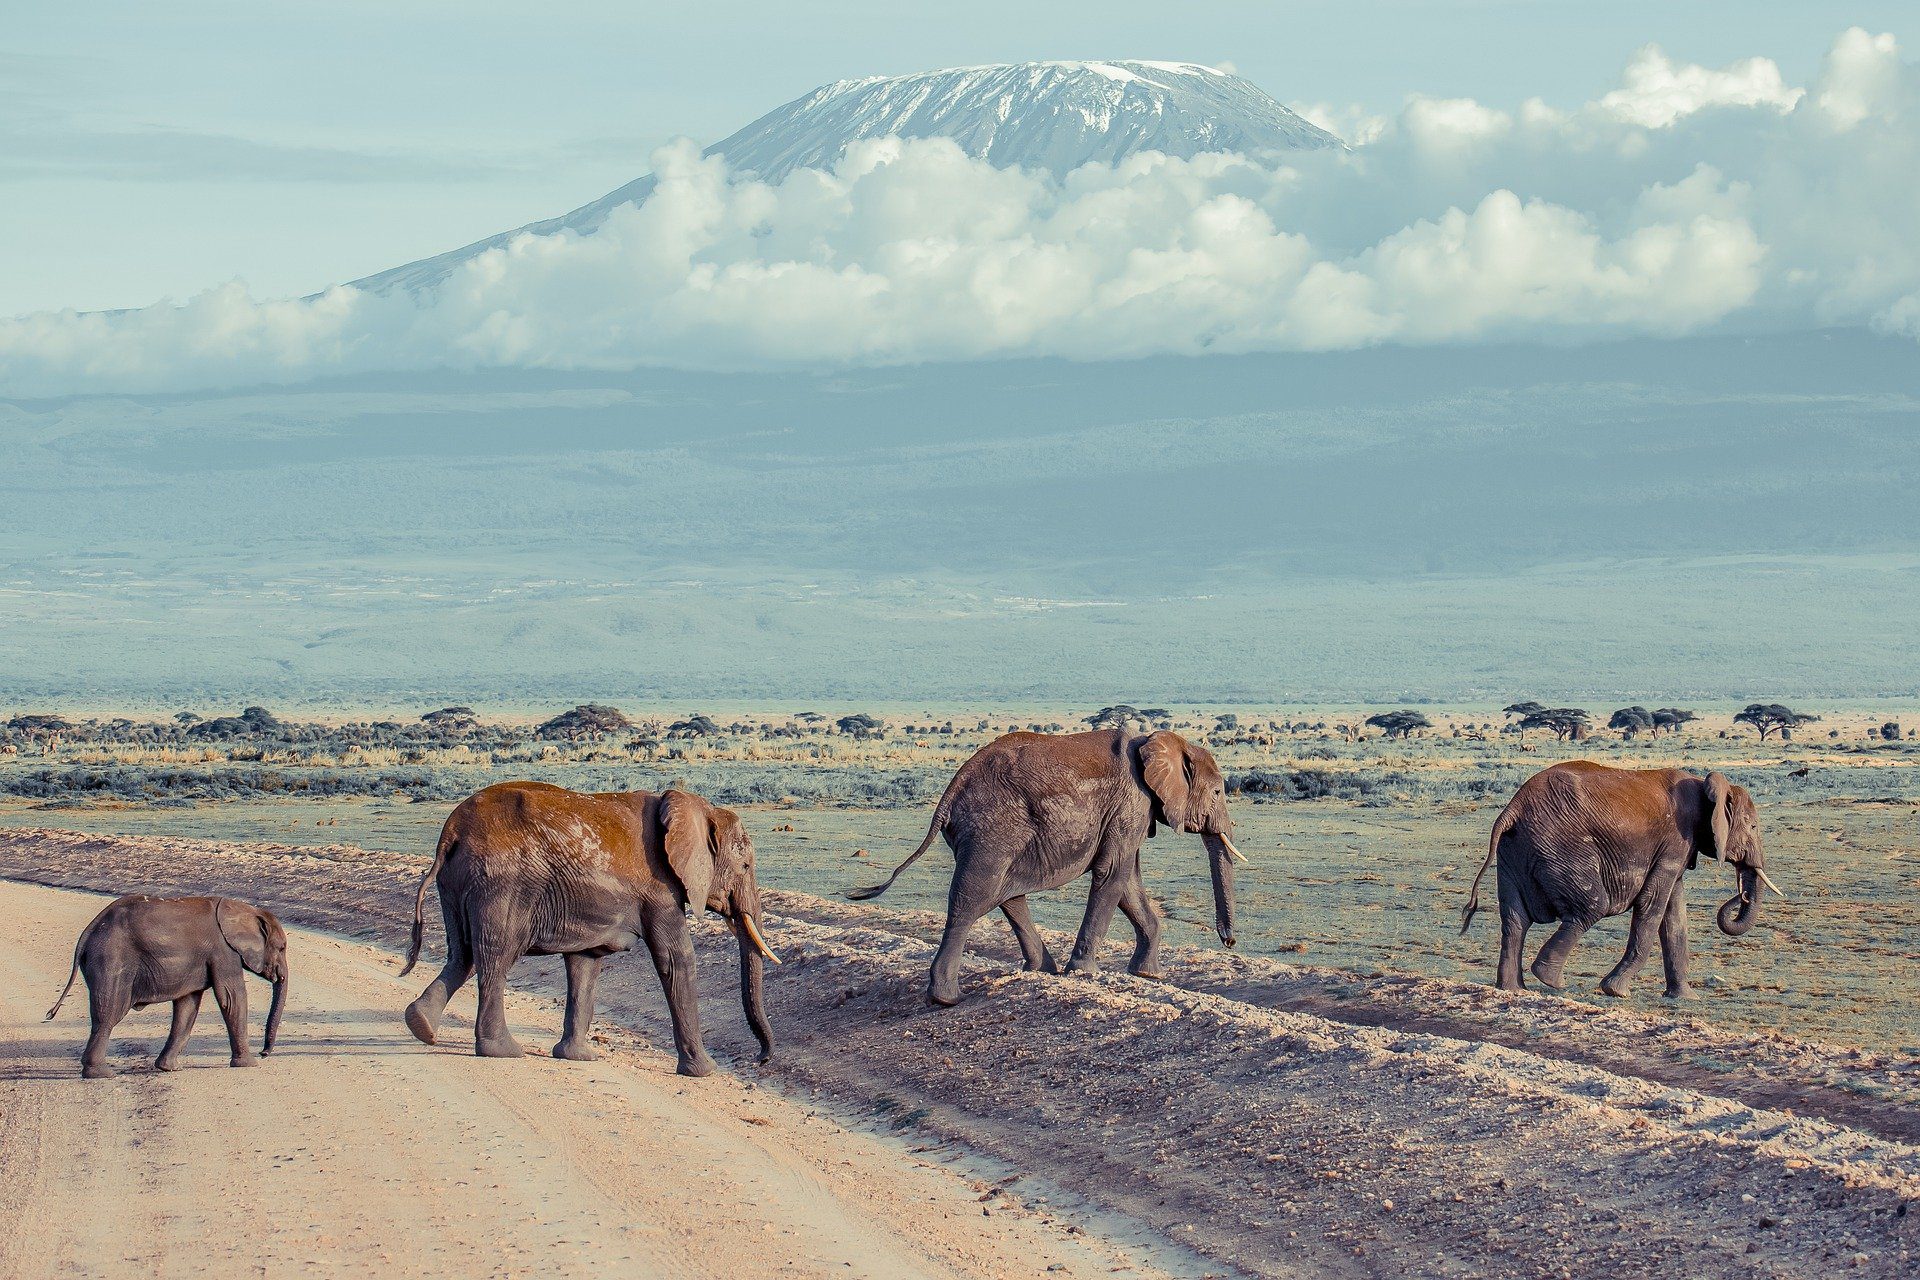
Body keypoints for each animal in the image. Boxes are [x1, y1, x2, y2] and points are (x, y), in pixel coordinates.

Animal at [45, 895, 289, 1079]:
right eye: (282, 948)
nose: (264, 1053)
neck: (242, 909)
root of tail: (89, 931)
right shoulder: (223, 952)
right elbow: (231, 997)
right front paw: (249, 1064)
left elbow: (188, 1005)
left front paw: (169, 1068)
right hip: (110, 960)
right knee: (108, 1015)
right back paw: (101, 1074)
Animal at [400, 781, 779, 1076]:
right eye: (745, 866)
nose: (761, 1059)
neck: (690, 806)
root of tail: (451, 832)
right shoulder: (660, 889)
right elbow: (675, 959)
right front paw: (704, 1072)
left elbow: (585, 964)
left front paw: (577, 1058)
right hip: (500, 885)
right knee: (495, 958)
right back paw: (503, 1051)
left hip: (458, 883)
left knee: (462, 954)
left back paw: (421, 1027)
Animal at [849, 727, 1246, 1006]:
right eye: (1217, 793)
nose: (1230, 941)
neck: (1157, 741)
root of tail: (950, 792)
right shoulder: (1131, 803)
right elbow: (1112, 875)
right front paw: (1085, 974)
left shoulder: (1131, 812)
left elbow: (1127, 883)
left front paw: (1149, 977)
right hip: (993, 830)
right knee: (971, 899)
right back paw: (946, 999)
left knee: (1007, 895)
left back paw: (1043, 971)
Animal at [1460, 761, 1784, 998]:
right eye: (1753, 827)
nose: (1741, 894)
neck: (1704, 783)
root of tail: (1512, 809)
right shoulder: (1675, 841)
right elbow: (1652, 907)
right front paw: (1616, 992)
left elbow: (1674, 915)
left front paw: (1684, 998)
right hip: (1560, 848)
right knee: (1590, 907)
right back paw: (1551, 980)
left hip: (1515, 852)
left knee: (1515, 921)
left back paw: (1514, 989)